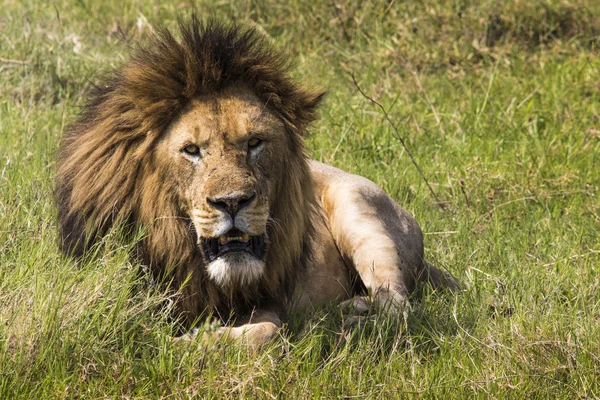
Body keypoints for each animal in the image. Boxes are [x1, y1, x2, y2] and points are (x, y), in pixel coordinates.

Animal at [56, 17, 458, 346]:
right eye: (191, 150)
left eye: (254, 143)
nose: (233, 202)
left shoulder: (269, 303)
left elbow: (267, 332)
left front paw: (193, 342)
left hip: (360, 210)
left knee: (398, 307)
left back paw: (352, 320)